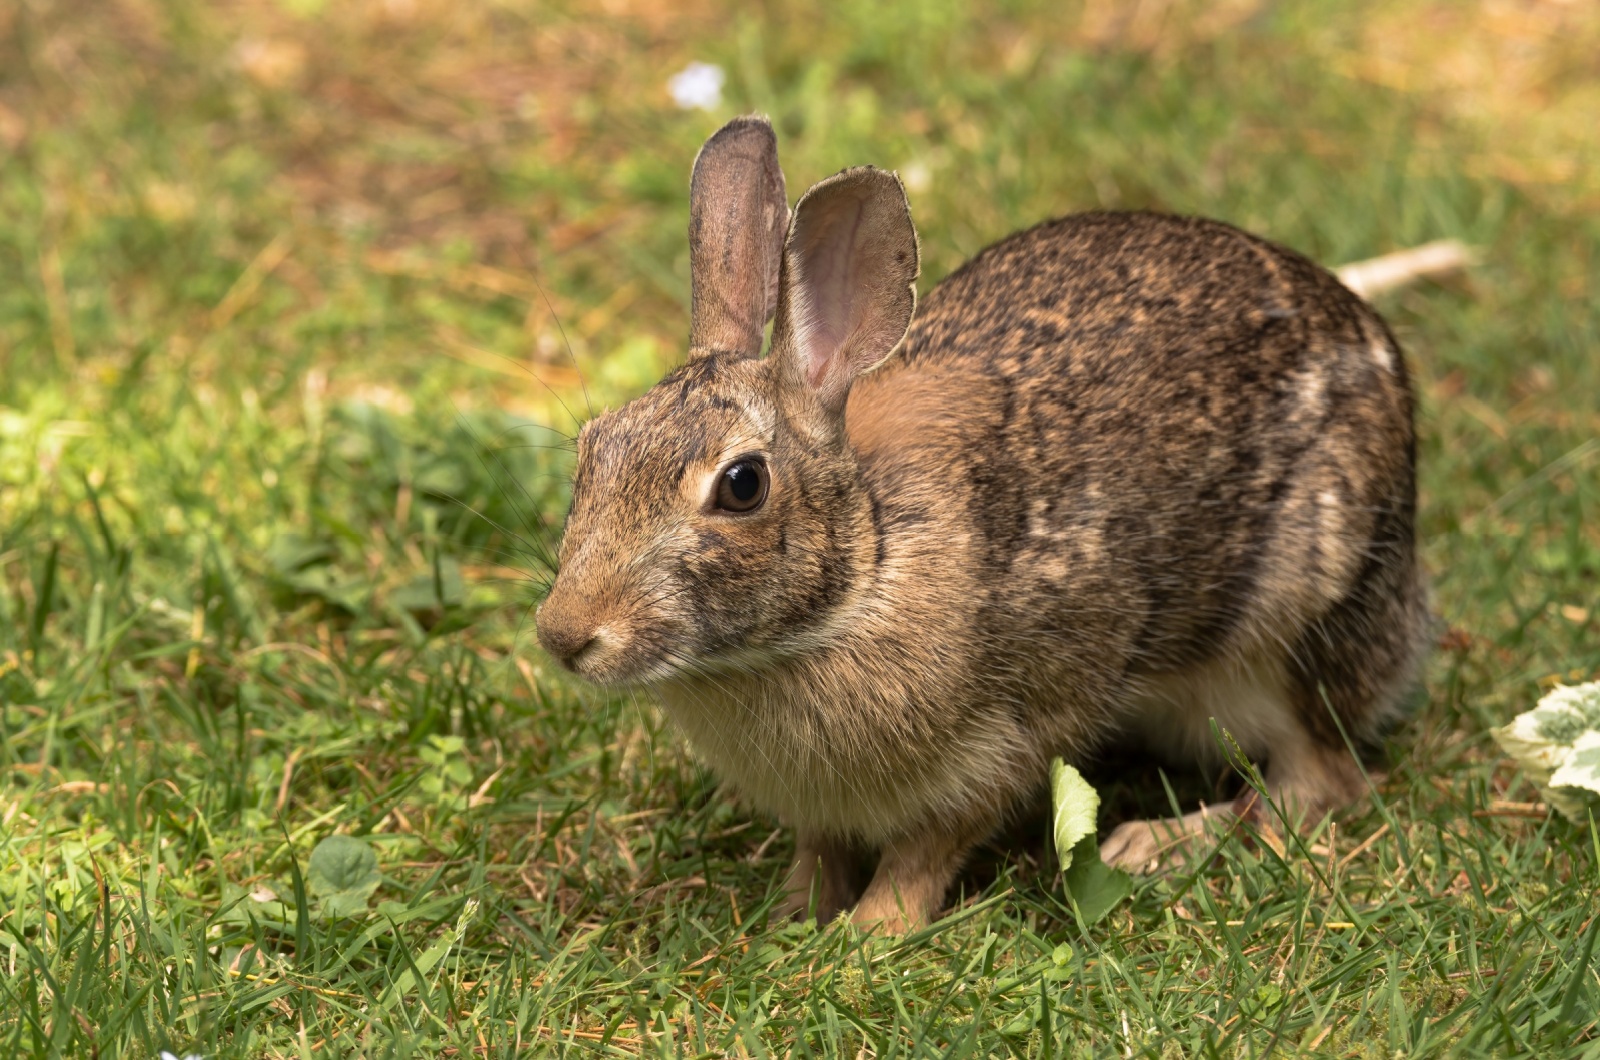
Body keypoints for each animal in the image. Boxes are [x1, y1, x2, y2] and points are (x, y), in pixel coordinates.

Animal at [534, 112, 1427, 935]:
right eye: (593, 447)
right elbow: (822, 846)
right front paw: (795, 915)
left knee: (1317, 780)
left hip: (1299, 614)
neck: (863, 573)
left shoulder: (1020, 730)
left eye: (742, 485)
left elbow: (932, 844)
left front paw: (868, 936)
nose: (564, 635)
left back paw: (1158, 842)